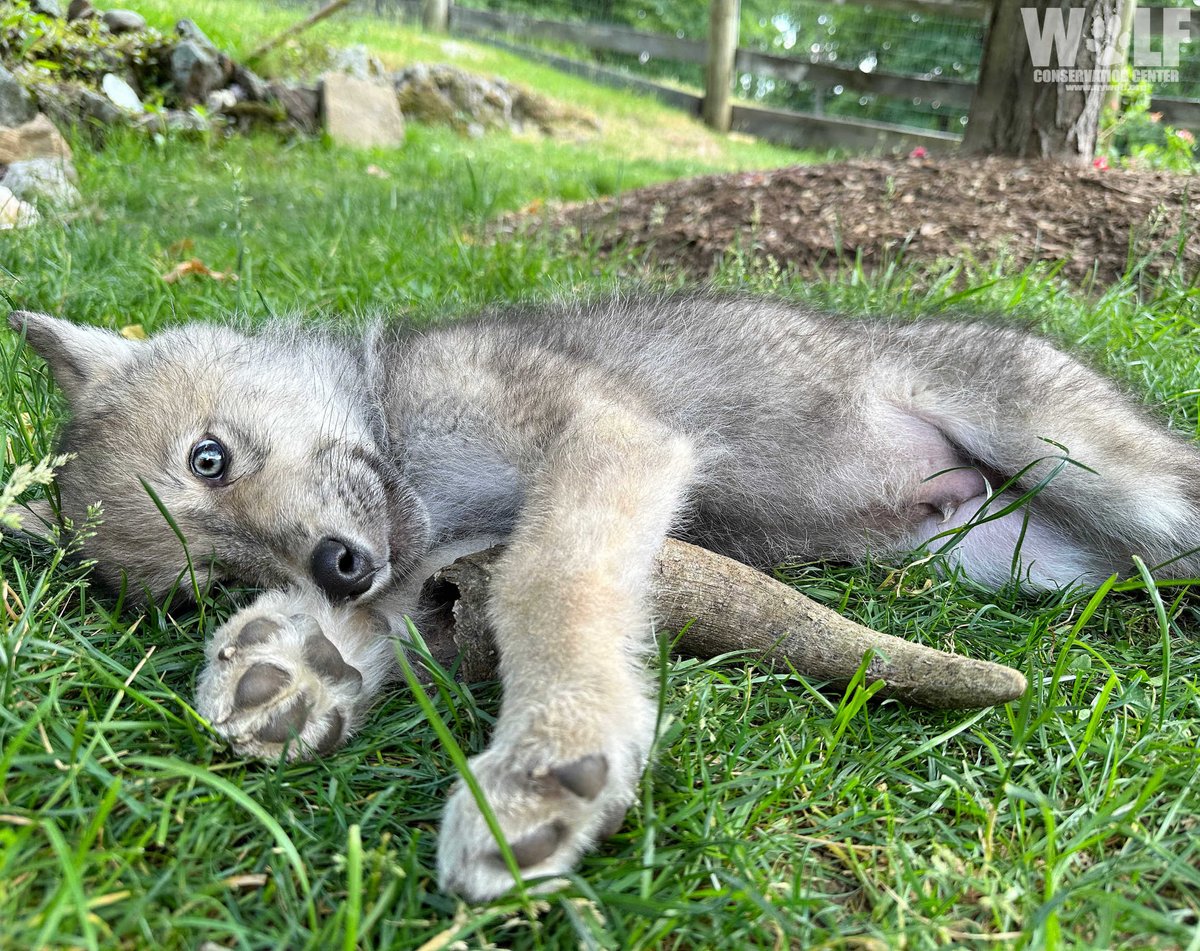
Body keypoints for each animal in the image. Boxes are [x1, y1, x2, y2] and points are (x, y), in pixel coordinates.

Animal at [8, 293, 1200, 901]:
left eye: (208, 458)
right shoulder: (435, 554)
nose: (336, 568)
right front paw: (296, 667)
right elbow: (410, 613)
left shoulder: (597, 445)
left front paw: (547, 760)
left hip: (1106, 474)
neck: (403, 422)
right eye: (214, 577)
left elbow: (552, 584)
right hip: (1010, 555)